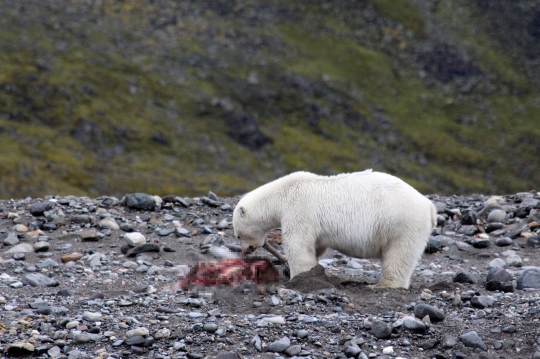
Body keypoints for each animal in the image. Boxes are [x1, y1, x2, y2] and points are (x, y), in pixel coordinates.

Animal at [234, 170, 436, 292]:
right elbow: (316, 246)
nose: (245, 250)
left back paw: (382, 285)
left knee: (399, 255)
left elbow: (298, 244)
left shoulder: (298, 209)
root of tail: (429, 206)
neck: (283, 193)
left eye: (238, 235)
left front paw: (298, 277)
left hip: (401, 223)